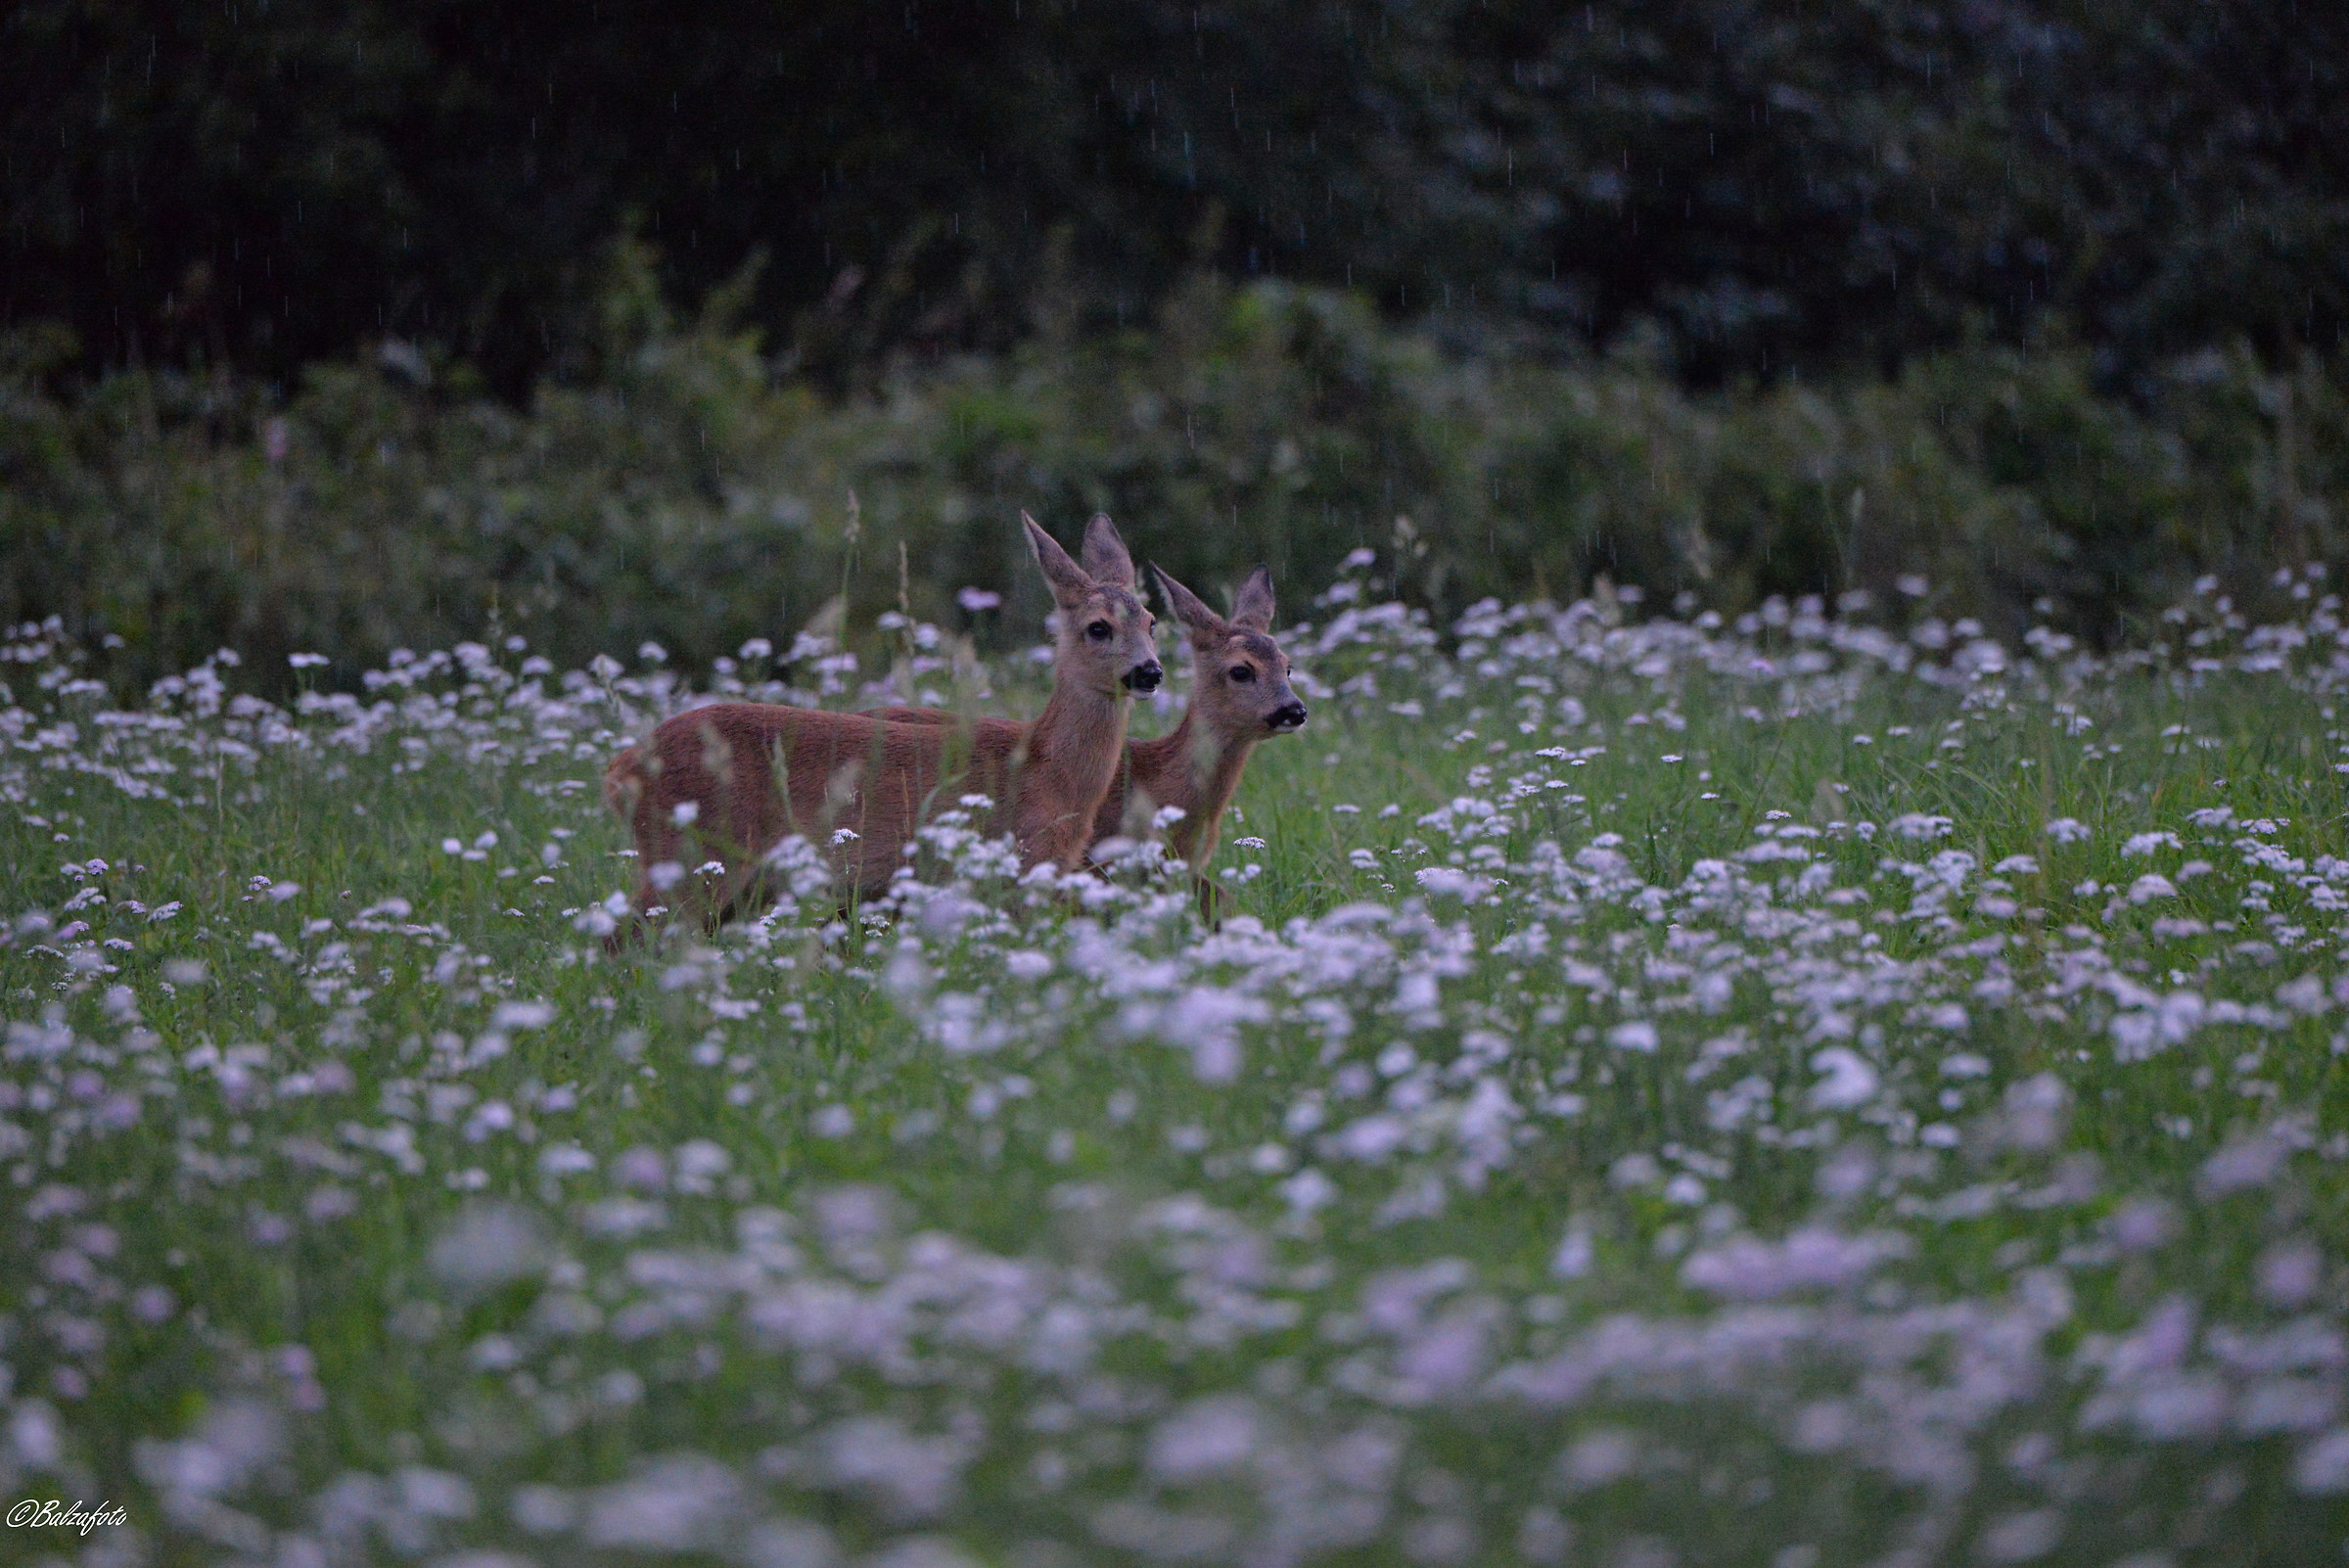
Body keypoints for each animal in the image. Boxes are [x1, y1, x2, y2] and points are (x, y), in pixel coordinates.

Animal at [601, 512, 1160, 945]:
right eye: (1098, 627)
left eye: (1152, 621)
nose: (1150, 672)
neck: (1046, 769)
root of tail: (620, 769)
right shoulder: (1017, 864)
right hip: (690, 855)